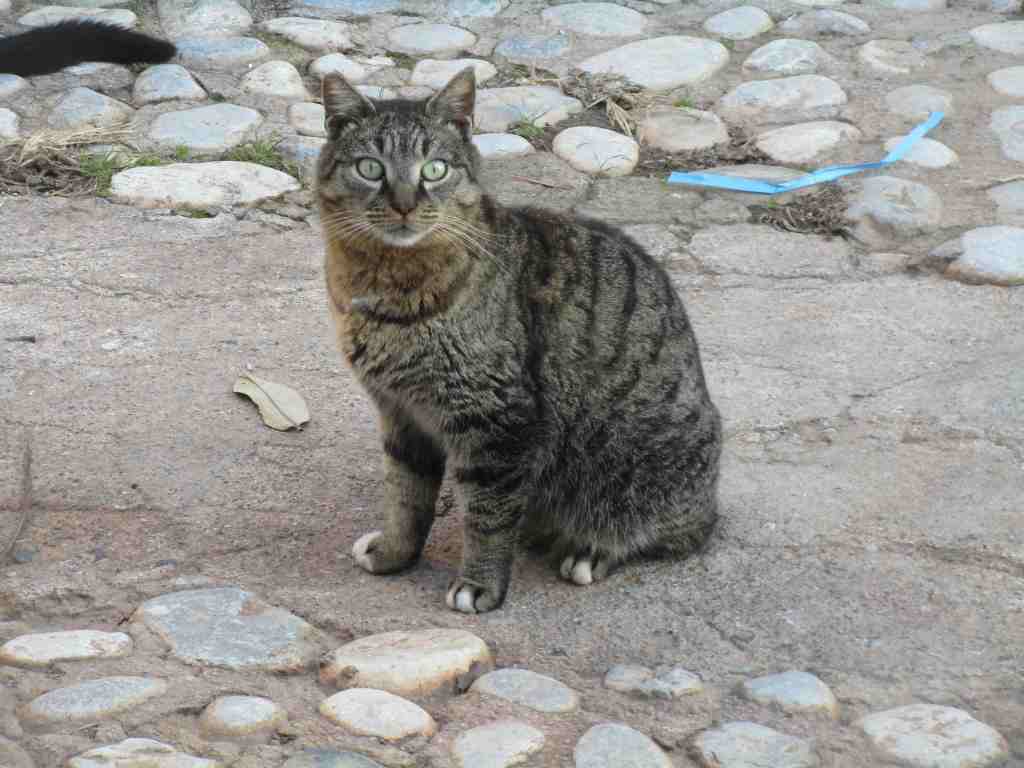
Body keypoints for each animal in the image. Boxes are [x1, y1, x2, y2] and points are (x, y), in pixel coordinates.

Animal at [317, 67, 722, 613]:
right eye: (370, 168)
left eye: (435, 169)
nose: (404, 205)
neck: (387, 288)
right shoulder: (401, 416)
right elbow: (404, 498)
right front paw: (395, 555)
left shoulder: (496, 419)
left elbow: (487, 517)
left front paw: (480, 584)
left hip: (633, 469)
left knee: (674, 532)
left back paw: (592, 550)